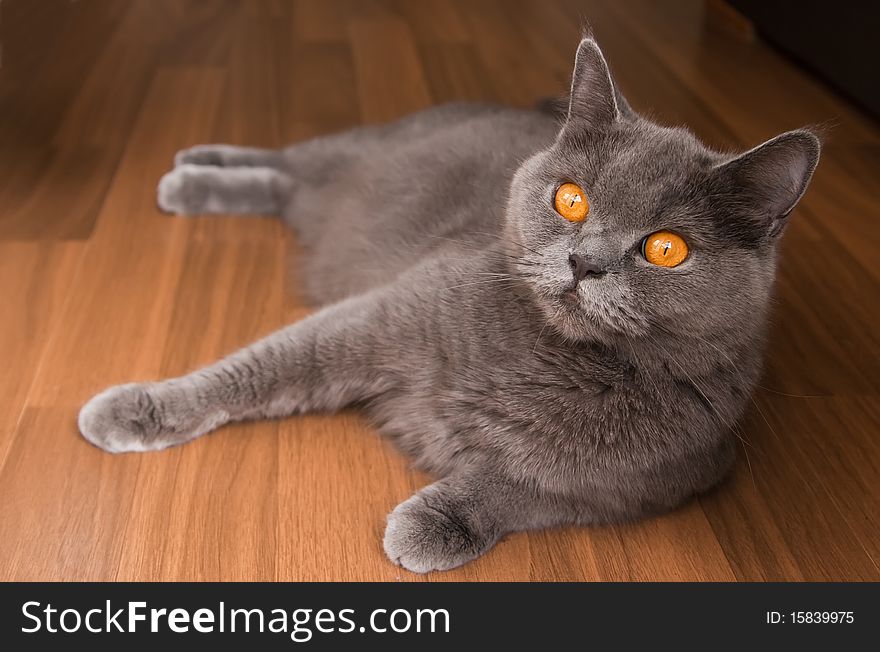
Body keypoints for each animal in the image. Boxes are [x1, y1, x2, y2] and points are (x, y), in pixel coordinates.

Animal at [79, 39, 820, 572]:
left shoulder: (667, 476)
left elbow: (528, 487)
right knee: (288, 159)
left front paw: (433, 524)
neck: (548, 358)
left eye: (666, 249)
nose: (585, 261)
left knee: (287, 184)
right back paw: (191, 169)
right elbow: (262, 367)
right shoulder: (378, 319)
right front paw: (139, 410)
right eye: (571, 199)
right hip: (359, 151)